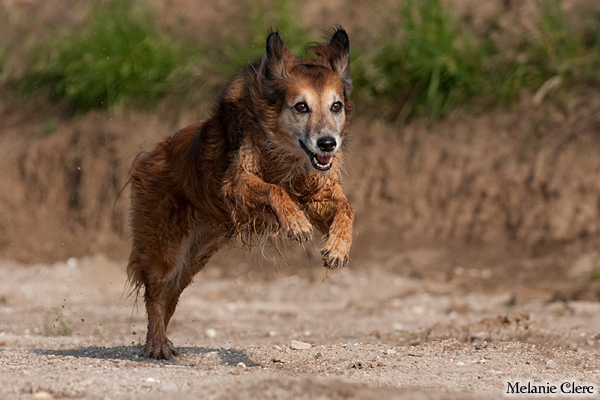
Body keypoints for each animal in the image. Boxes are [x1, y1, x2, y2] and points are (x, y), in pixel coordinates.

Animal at [126, 28, 354, 359]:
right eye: (301, 106)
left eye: (336, 106)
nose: (328, 143)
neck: (286, 154)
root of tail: (147, 155)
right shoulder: (234, 184)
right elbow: (274, 190)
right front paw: (296, 223)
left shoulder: (317, 193)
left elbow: (347, 208)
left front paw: (338, 247)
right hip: (164, 247)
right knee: (156, 292)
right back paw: (156, 344)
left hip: (196, 254)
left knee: (172, 294)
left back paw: (163, 339)